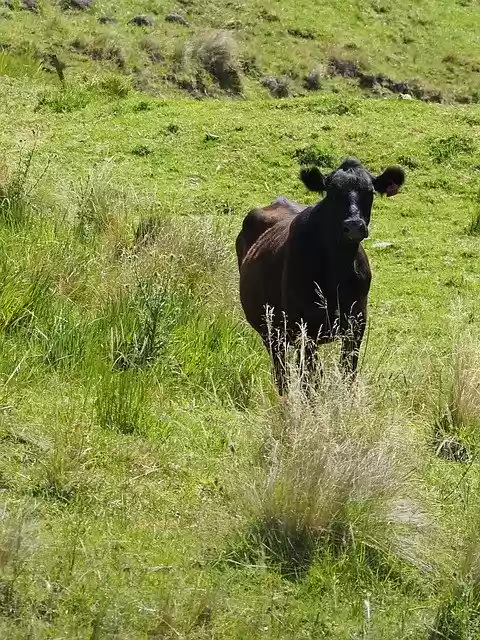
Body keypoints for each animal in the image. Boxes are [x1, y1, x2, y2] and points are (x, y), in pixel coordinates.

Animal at [236, 157, 405, 394]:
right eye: (332, 192)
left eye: (370, 192)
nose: (354, 226)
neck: (337, 273)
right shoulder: (305, 328)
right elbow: (311, 380)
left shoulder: (356, 324)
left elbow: (347, 373)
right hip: (271, 331)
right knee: (282, 372)